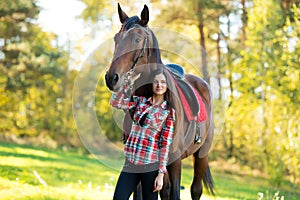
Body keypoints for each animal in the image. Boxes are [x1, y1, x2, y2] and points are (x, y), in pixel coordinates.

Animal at [104, 3, 214, 200]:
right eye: (117, 38)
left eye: (137, 39)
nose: (111, 78)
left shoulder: (175, 160)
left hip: (202, 156)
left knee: (195, 189)